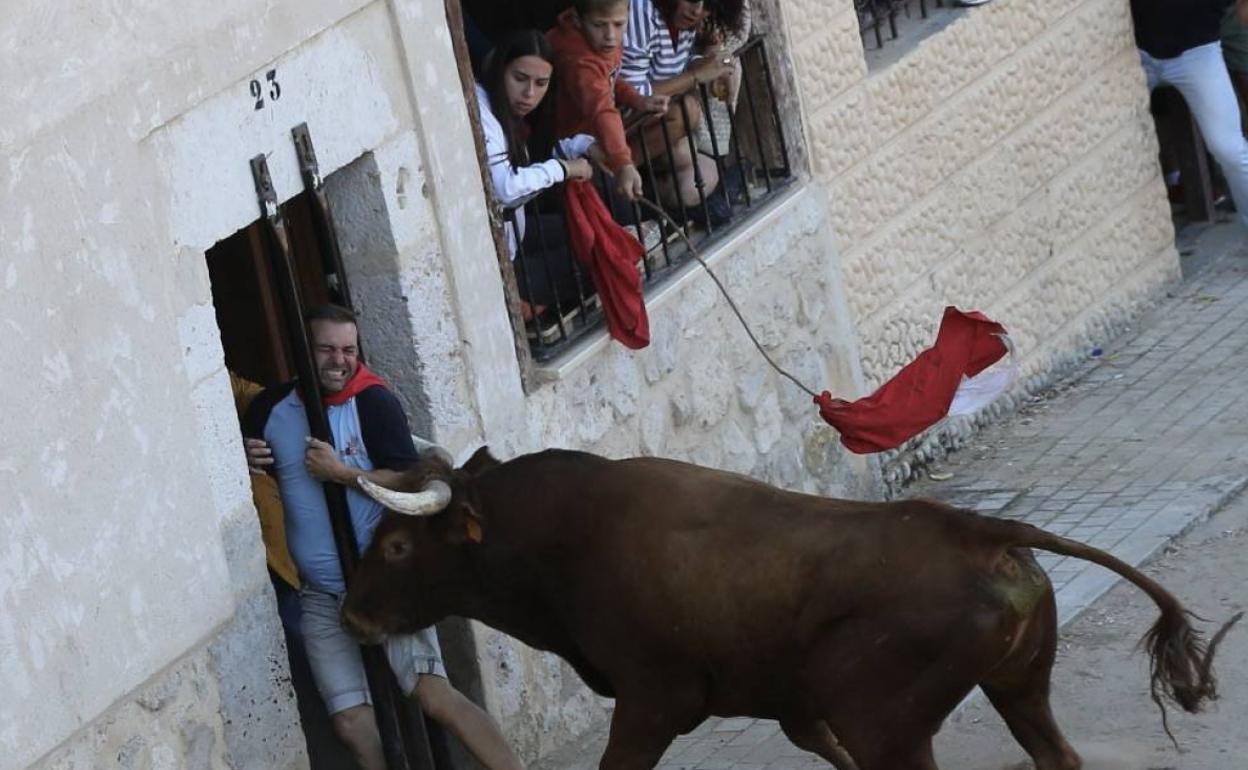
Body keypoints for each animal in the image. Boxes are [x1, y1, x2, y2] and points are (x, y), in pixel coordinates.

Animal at [339, 446, 1238, 768]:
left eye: (396, 545)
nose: (351, 618)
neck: (561, 536)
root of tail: (978, 528)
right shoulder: (788, 699)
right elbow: (815, 745)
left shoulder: (652, 698)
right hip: (1019, 684)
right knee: (1055, 754)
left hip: (890, 722)